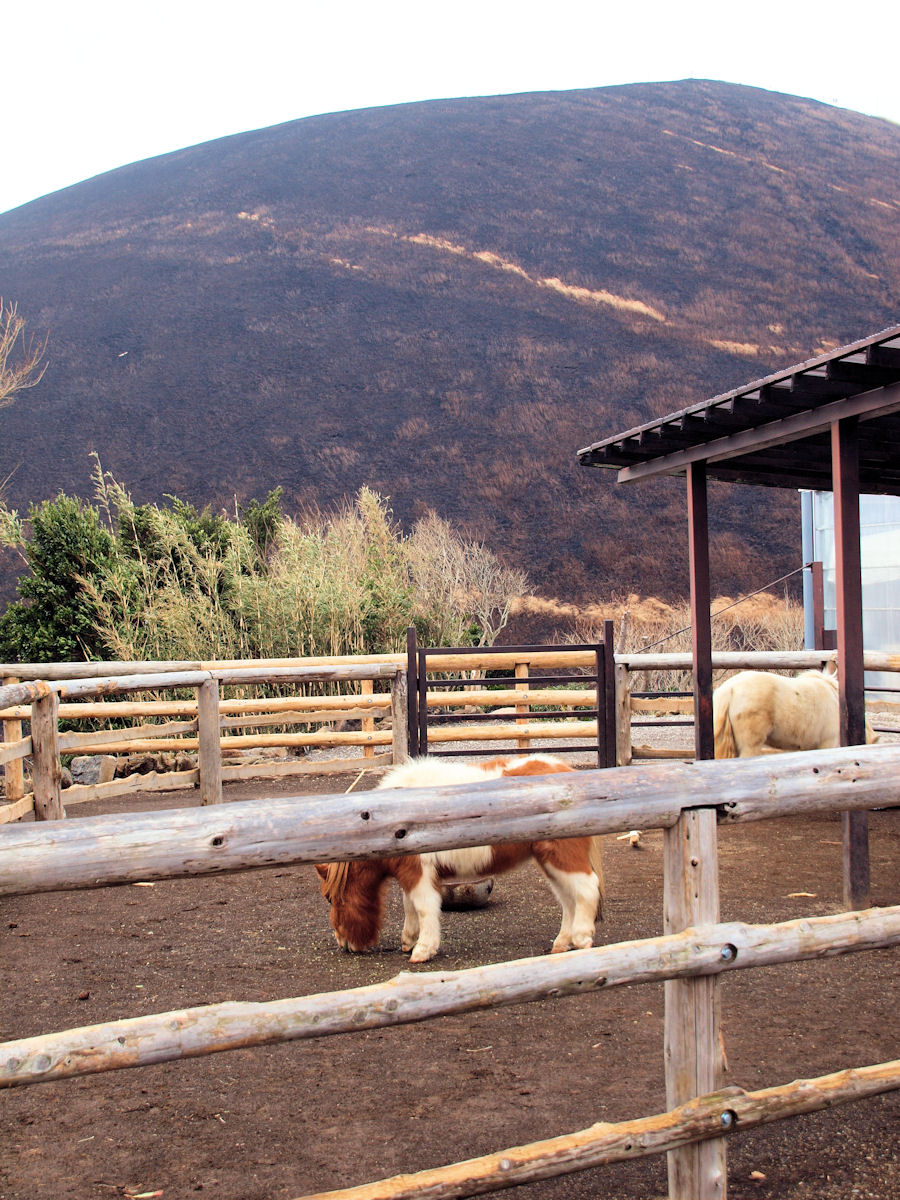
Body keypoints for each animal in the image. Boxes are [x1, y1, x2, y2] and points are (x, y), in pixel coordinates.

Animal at [315, 753, 605, 964]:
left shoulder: (420, 873)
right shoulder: (411, 874)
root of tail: (569, 772)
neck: (390, 822)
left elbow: (424, 907)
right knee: (568, 900)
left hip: (563, 857)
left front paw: (423, 950)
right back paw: (562, 943)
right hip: (550, 862)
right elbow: (409, 906)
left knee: (587, 889)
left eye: (330, 898)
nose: (343, 942)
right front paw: (409, 941)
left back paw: (582, 939)